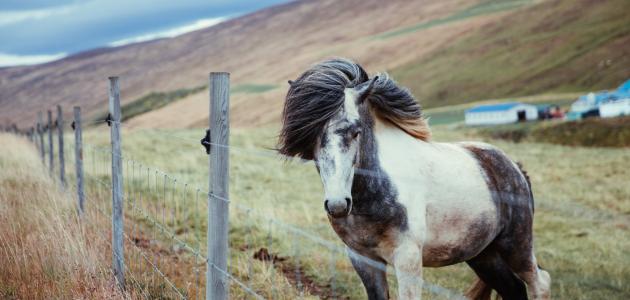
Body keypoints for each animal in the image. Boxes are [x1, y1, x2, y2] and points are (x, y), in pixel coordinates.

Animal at [280, 57, 552, 298]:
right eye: (311, 137)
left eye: (356, 131)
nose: (337, 205)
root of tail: (515, 168)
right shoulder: (362, 259)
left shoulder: (407, 258)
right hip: (484, 255)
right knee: (514, 290)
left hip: (516, 246)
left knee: (541, 283)